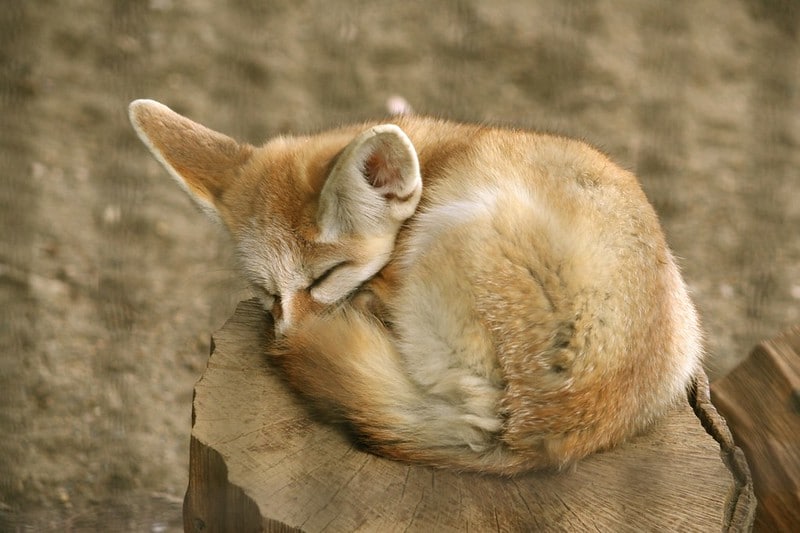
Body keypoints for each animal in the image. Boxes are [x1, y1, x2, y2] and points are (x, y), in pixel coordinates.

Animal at [128, 97, 704, 472]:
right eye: (268, 290)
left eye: (325, 276)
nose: (284, 335)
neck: (442, 153)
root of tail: (533, 431)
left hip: (458, 225)